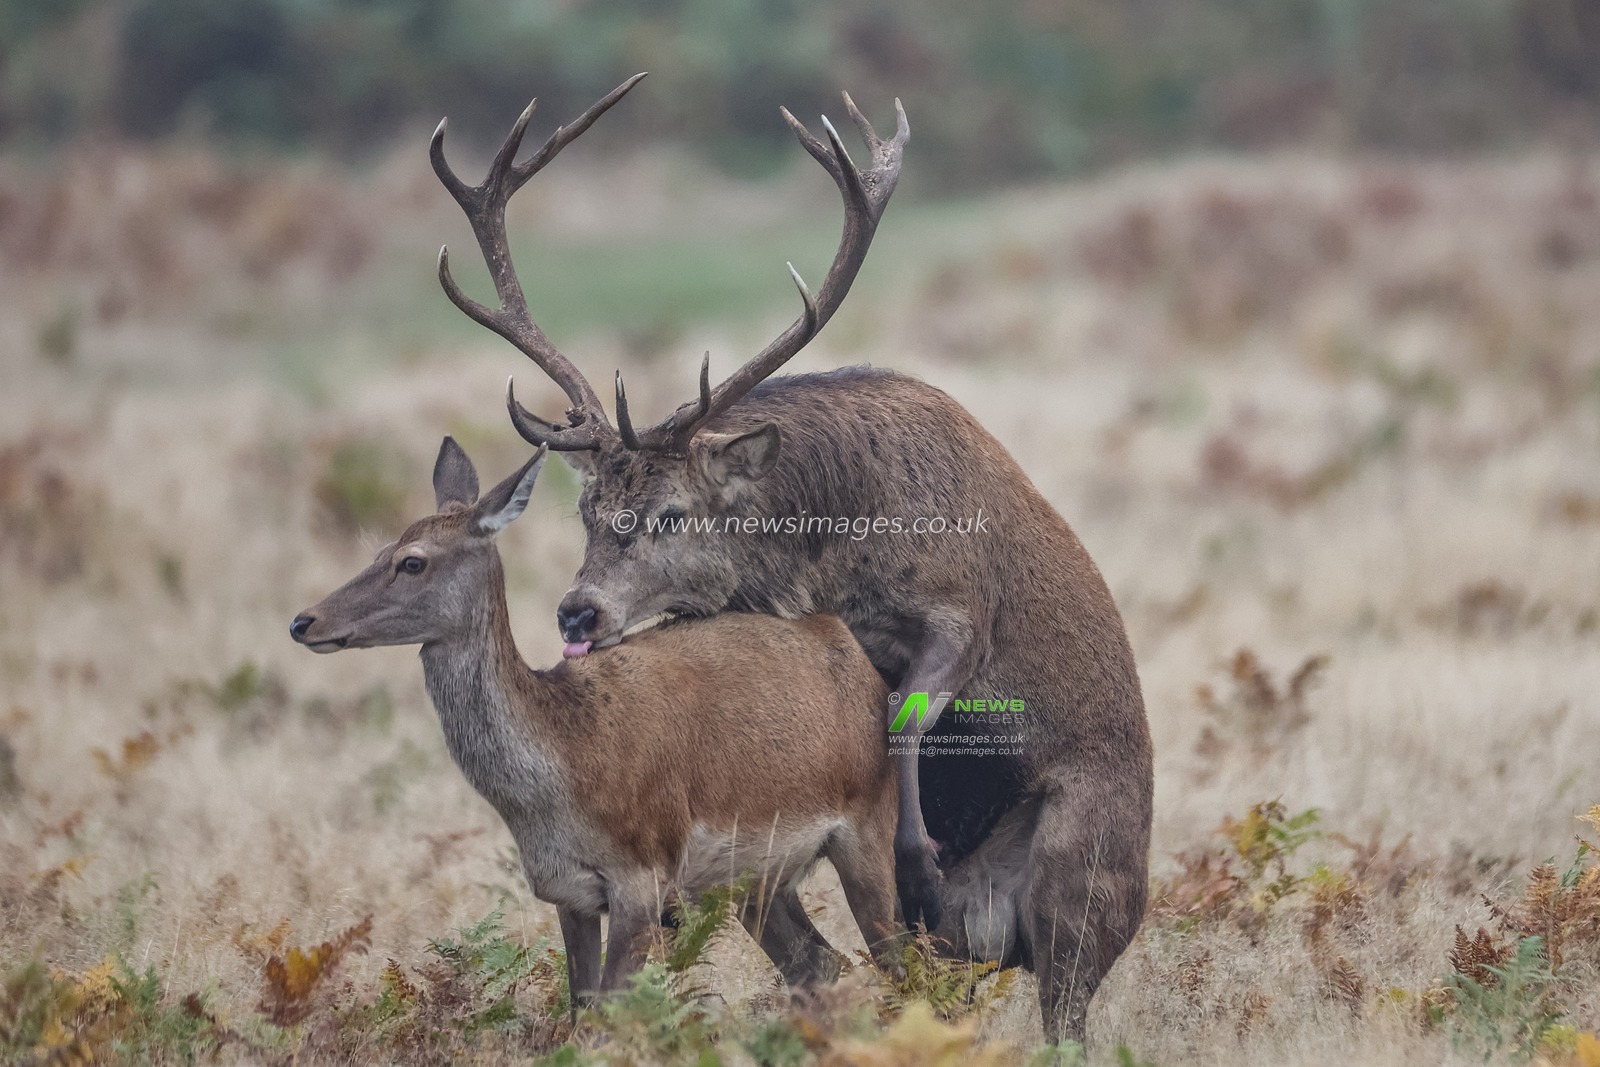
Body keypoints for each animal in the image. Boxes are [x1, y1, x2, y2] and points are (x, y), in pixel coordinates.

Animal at [289, 438, 900, 1004]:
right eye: (379, 548)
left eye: (412, 560)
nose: (303, 621)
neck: (564, 763)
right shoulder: (569, 894)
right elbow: (580, 1010)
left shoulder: (643, 875)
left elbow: (609, 1015)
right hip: (755, 878)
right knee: (819, 963)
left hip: (870, 827)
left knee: (904, 960)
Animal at [429, 74, 1154, 1042]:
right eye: (586, 509)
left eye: (670, 515)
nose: (578, 610)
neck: (831, 551)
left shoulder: (962, 605)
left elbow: (904, 716)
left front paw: (921, 863)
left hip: (1086, 879)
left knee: (1064, 993)